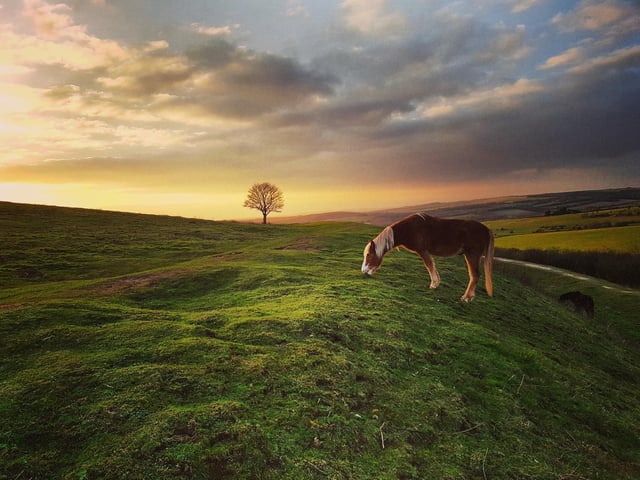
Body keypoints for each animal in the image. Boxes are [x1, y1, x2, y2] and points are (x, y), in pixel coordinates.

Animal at [362, 213, 494, 302]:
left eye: (368, 255)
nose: (364, 271)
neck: (409, 229)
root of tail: (486, 229)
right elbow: (432, 265)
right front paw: (436, 283)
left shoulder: (423, 251)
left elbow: (429, 265)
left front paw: (433, 284)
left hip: (472, 255)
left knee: (475, 275)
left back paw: (466, 298)